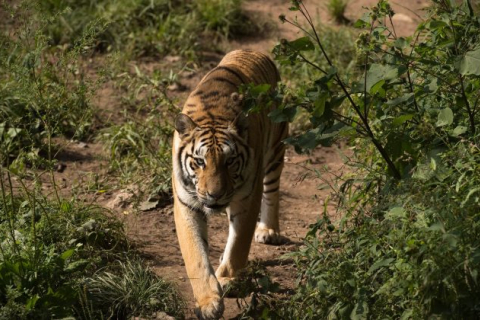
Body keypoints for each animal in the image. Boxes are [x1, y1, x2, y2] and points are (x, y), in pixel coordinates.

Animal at [172, 48, 286, 318]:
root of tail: (250, 50)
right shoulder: (186, 205)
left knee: (272, 191)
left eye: (230, 161)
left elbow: (238, 245)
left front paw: (227, 280)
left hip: (276, 148)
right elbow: (196, 255)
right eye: (199, 162)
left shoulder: (247, 199)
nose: (215, 195)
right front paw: (208, 302)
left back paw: (268, 230)